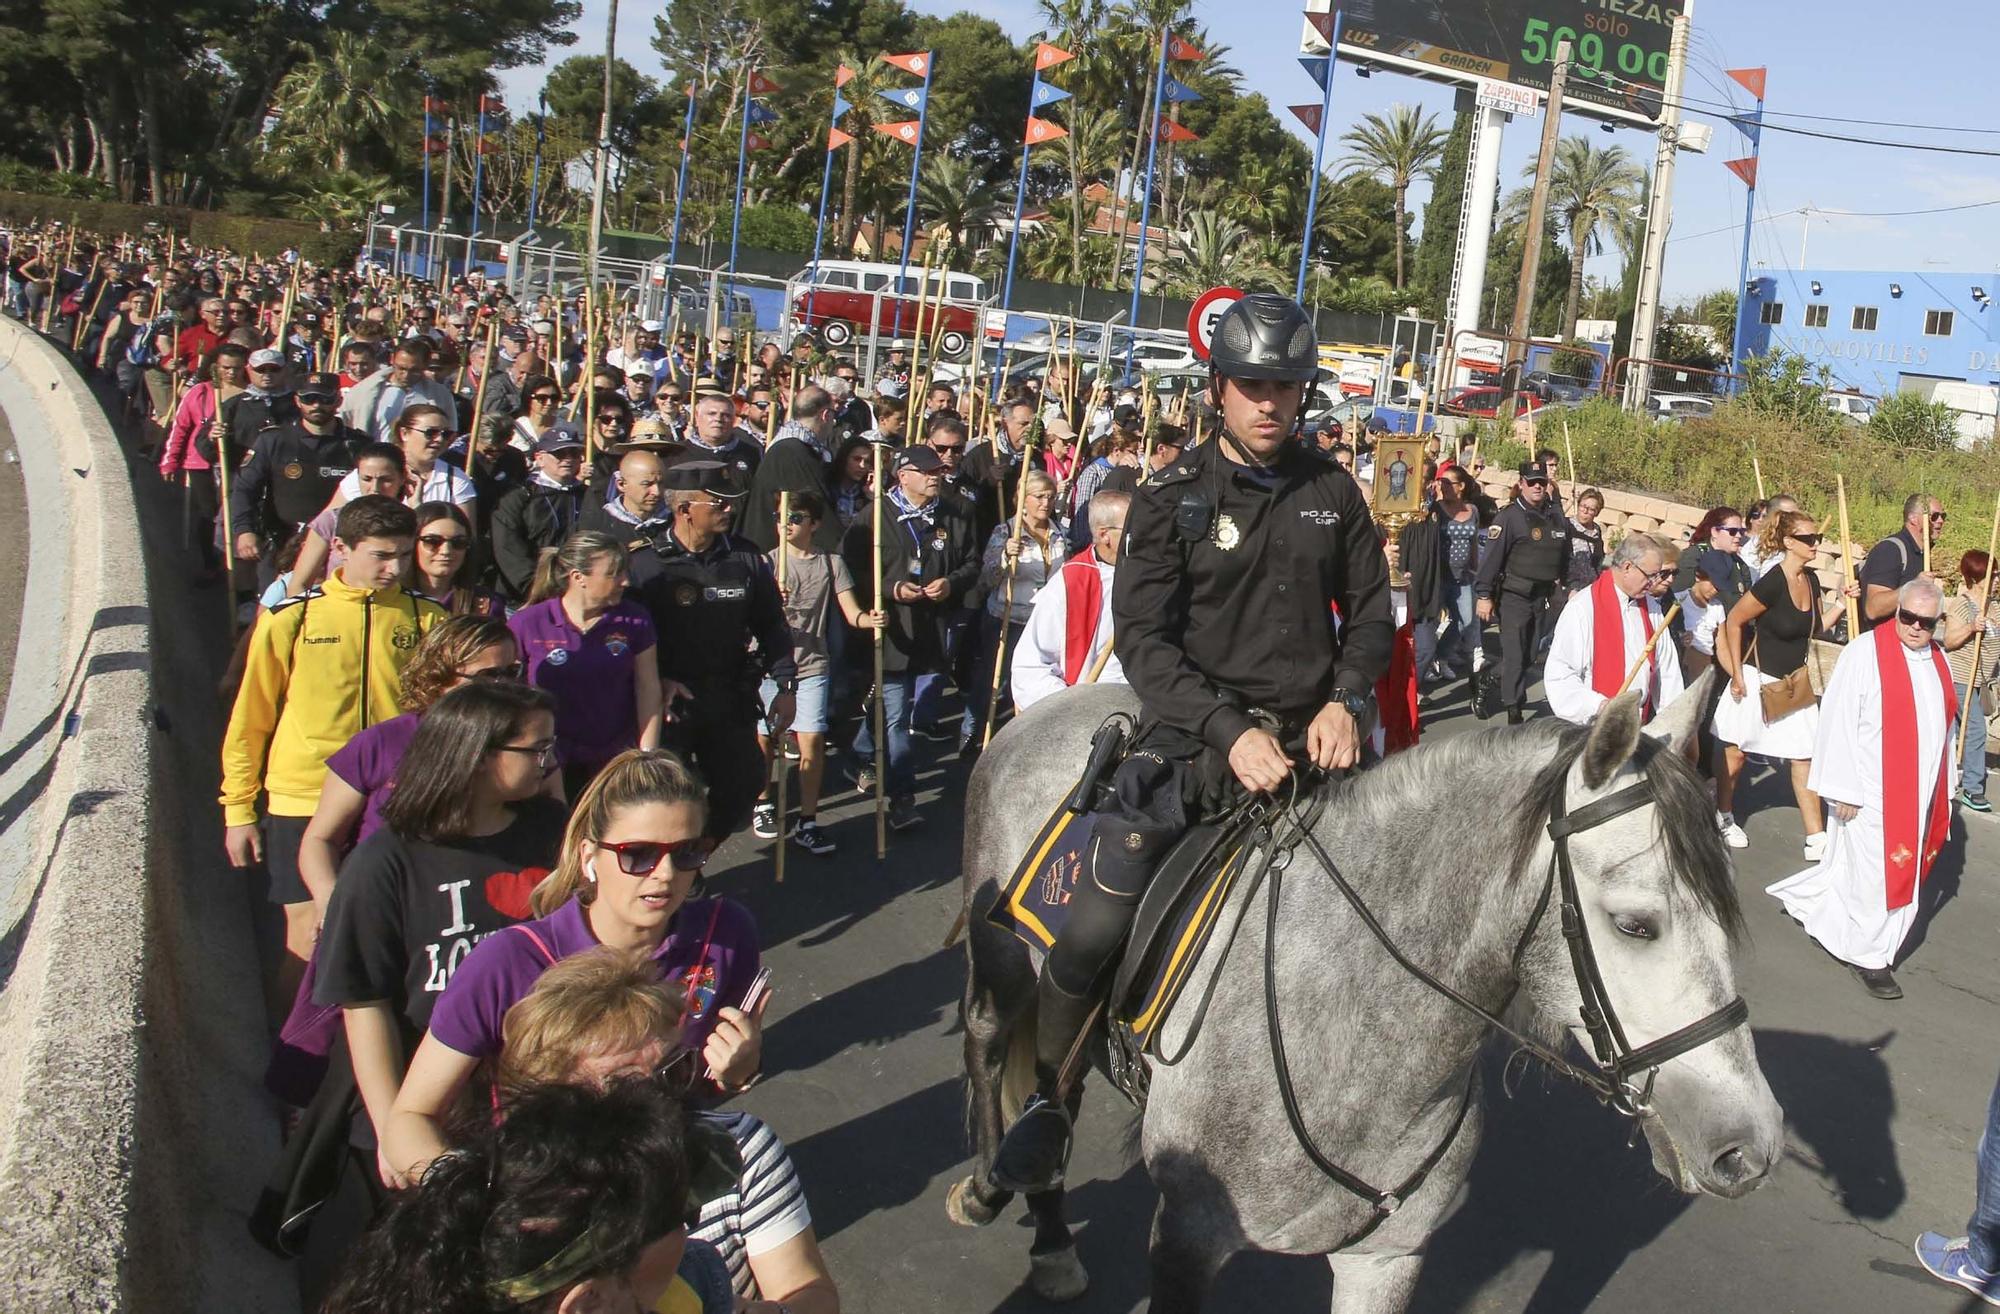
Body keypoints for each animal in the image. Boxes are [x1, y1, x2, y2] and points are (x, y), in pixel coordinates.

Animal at [948, 676, 1784, 1312]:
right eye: (1635, 924)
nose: (1754, 1145)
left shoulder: (1386, 1257)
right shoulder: (1187, 1234)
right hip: (1006, 955)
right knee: (994, 1038)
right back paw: (1004, 1189)